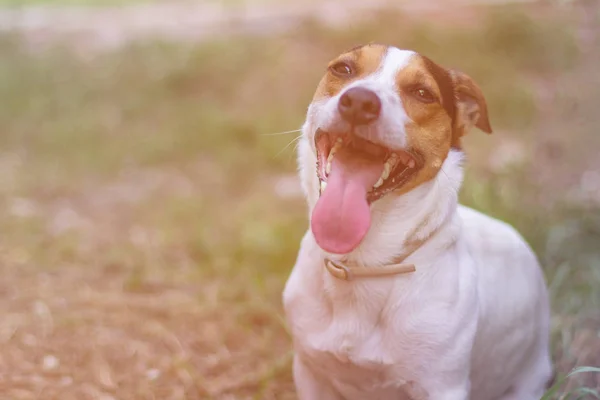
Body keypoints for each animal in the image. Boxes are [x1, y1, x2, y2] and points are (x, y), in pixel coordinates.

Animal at [282, 44, 552, 400]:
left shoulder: (443, 386)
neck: (363, 264)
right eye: (342, 69)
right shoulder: (310, 372)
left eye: (422, 93)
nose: (359, 102)